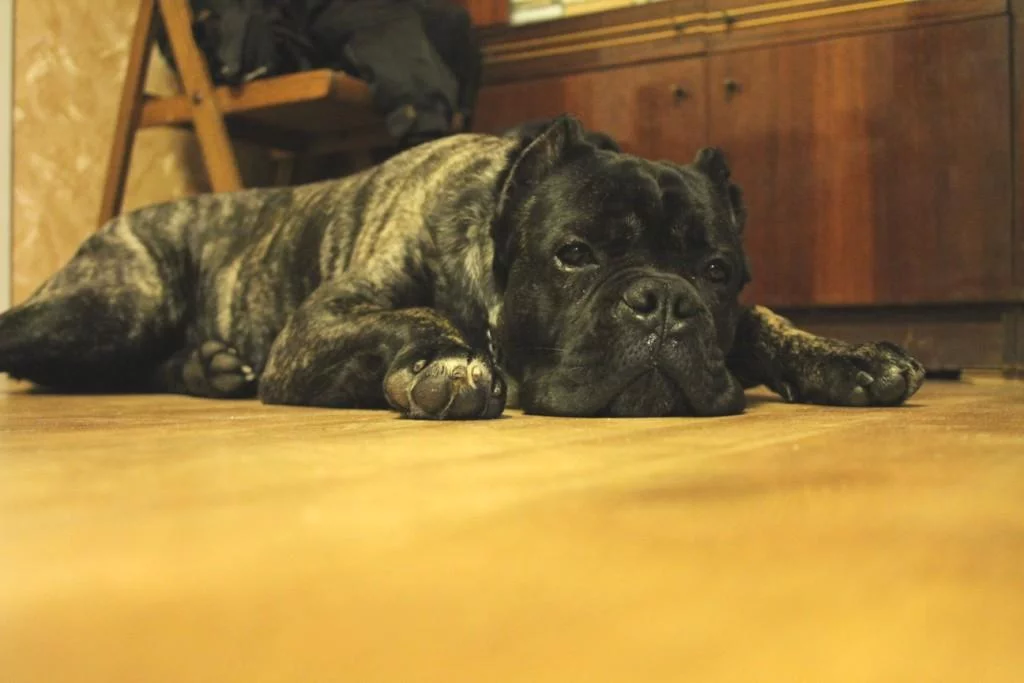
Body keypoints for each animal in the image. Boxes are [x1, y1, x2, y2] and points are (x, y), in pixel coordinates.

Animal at [0, 115, 925, 418]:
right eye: (574, 255)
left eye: (718, 271)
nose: (663, 300)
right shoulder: (319, 326)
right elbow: (422, 316)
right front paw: (445, 366)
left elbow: (765, 326)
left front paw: (848, 356)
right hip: (112, 308)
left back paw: (212, 367)